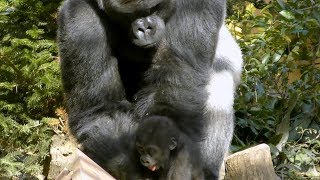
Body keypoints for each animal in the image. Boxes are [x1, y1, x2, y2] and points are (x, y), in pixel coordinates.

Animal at [57, 0, 242, 179]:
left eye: (153, 9)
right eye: (128, 16)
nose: (145, 28)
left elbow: (172, 89)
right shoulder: (79, 17)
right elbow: (103, 110)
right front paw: (134, 170)